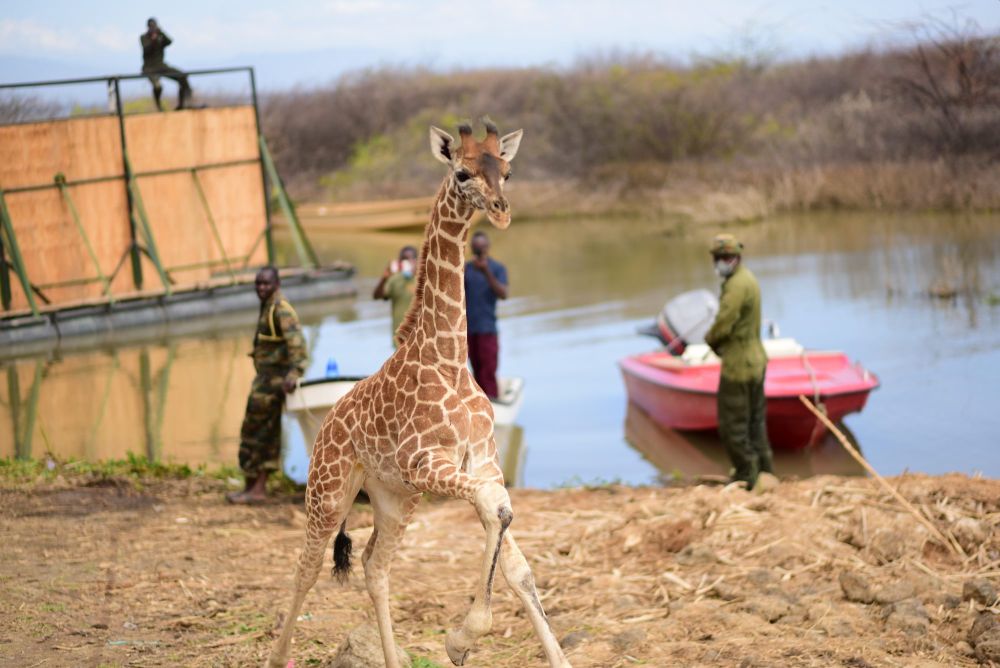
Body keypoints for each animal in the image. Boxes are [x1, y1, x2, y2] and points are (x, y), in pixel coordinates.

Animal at [266, 120, 576, 668]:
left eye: (507, 170)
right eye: (462, 172)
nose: (501, 210)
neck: (449, 358)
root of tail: (325, 424)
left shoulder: (481, 461)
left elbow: (514, 551)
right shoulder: (426, 460)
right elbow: (495, 509)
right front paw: (462, 639)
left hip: (395, 499)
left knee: (374, 564)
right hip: (329, 490)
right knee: (307, 565)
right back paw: (278, 657)